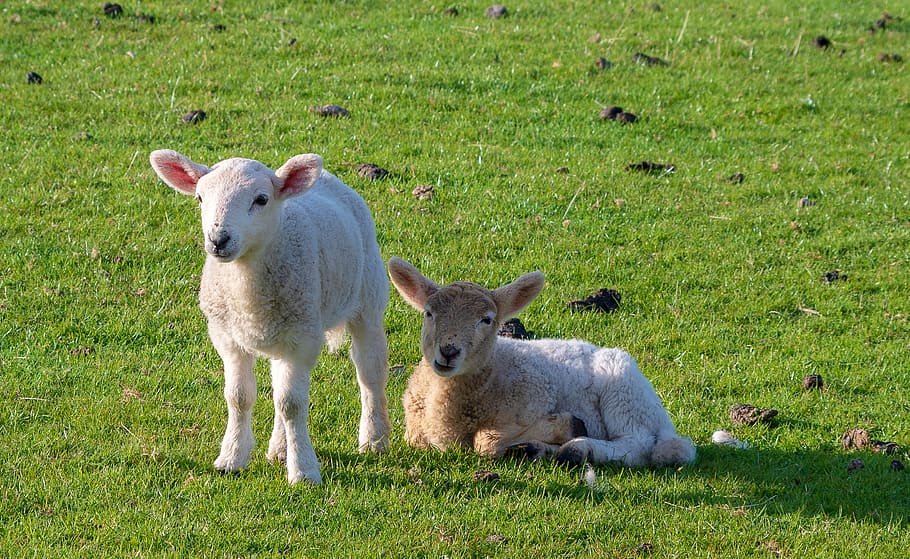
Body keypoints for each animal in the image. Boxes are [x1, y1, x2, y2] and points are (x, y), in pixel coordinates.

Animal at [149, 149, 391, 484]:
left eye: (261, 199)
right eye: (199, 198)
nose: (218, 239)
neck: (246, 289)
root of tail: (327, 177)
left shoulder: (303, 338)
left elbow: (292, 405)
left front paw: (303, 470)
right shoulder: (226, 337)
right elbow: (239, 397)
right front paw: (232, 458)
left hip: (368, 299)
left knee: (369, 372)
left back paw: (374, 439)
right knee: (279, 383)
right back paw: (279, 449)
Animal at [387, 257, 696, 468]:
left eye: (486, 320)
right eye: (429, 313)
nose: (448, 351)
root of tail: (660, 413)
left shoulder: (536, 395)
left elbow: (486, 442)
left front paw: (567, 428)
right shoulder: (414, 434)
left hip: (624, 396)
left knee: (636, 444)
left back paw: (578, 448)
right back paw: (539, 449)